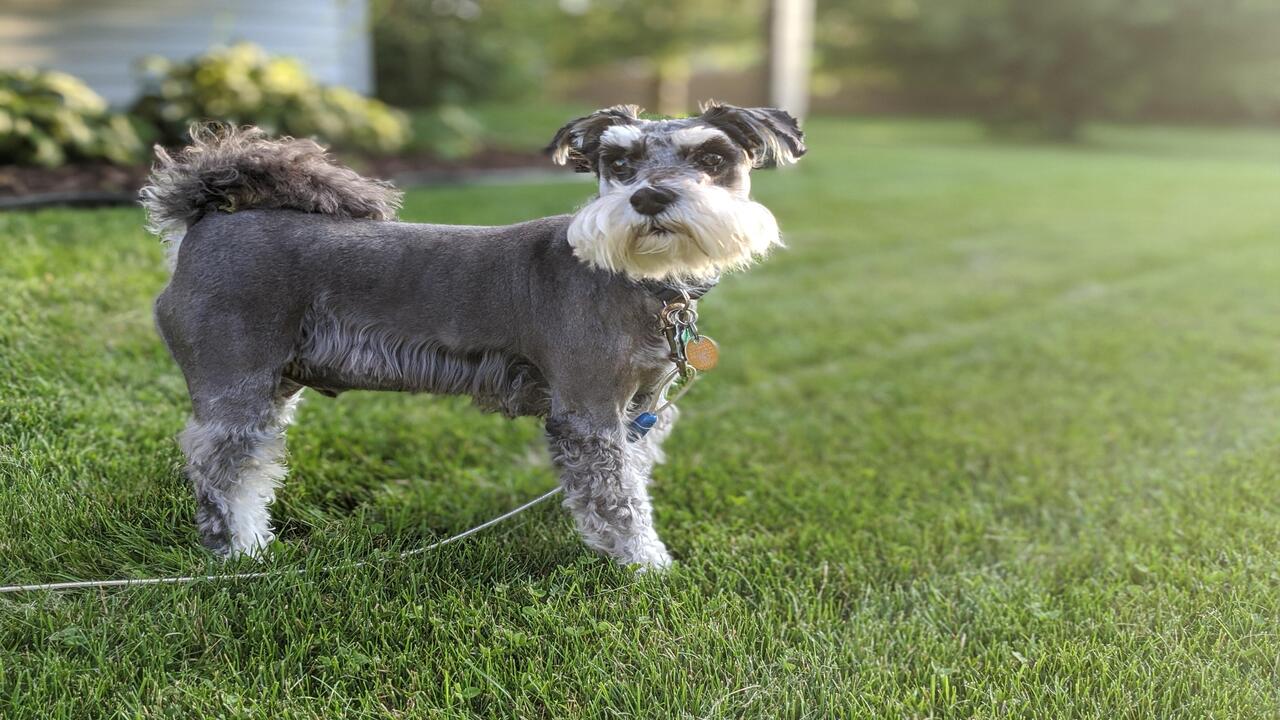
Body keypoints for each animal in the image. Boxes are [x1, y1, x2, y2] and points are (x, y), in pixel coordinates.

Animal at [140, 101, 798, 566]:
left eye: (712, 160)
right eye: (619, 164)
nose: (651, 196)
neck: (637, 280)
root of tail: (201, 220)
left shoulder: (640, 410)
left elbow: (630, 480)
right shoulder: (588, 414)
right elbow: (618, 500)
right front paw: (647, 566)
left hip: (272, 388)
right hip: (237, 390)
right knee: (223, 472)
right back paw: (241, 553)